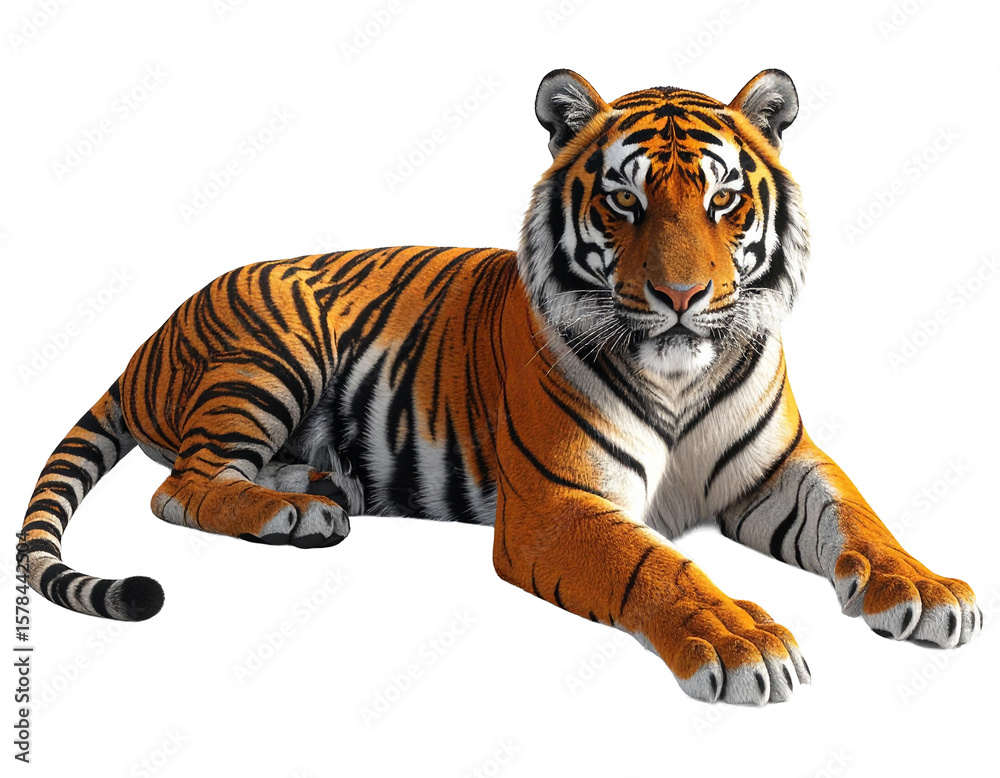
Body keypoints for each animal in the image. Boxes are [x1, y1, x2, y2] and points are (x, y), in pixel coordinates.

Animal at [17, 68, 981, 705]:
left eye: (722, 201)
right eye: (625, 203)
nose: (681, 296)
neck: (680, 374)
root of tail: (149, 335)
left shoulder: (778, 468)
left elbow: (860, 518)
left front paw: (928, 590)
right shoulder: (557, 504)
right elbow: (659, 565)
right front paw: (740, 638)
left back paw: (317, 489)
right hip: (268, 354)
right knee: (181, 487)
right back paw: (291, 511)